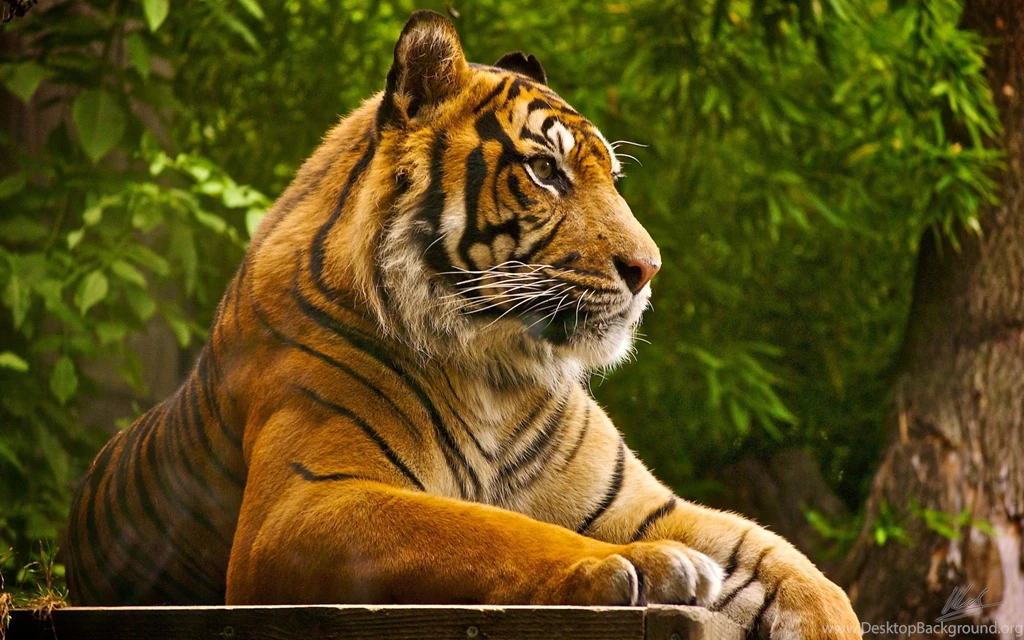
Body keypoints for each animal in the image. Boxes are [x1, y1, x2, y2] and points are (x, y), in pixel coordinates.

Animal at [65, 10, 860, 639]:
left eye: (610, 177)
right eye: (545, 172)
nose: (649, 268)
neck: (497, 371)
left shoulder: (642, 502)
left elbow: (788, 562)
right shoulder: (302, 504)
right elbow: (491, 528)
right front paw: (630, 565)